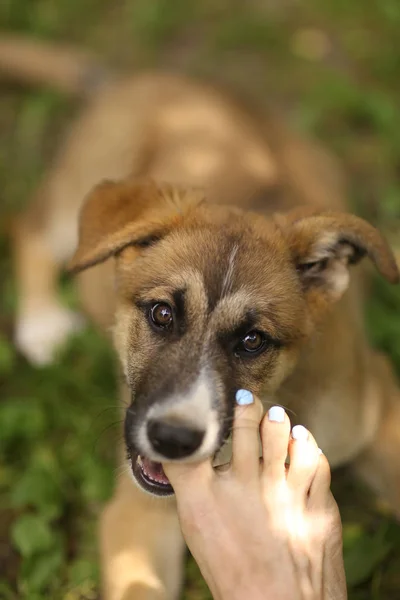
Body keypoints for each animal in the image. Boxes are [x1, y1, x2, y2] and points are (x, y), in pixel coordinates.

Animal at [4, 36, 400, 600]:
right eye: (161, 313)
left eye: (253, 340)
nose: (173, 440)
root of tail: (153, 78)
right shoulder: (134, 512)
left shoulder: (375, 404)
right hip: (81, 194)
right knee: (31, 224)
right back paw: (41, 323)